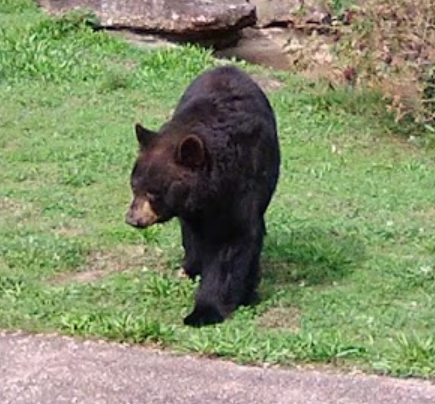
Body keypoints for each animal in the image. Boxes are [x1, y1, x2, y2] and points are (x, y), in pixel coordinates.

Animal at [126, 64, 282, 326]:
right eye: (134, 185)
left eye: (153, 192)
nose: (133, 219)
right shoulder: (193, 208)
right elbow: (198, 236)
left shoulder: (243, 188)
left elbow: (232, 244)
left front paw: (205, 311)